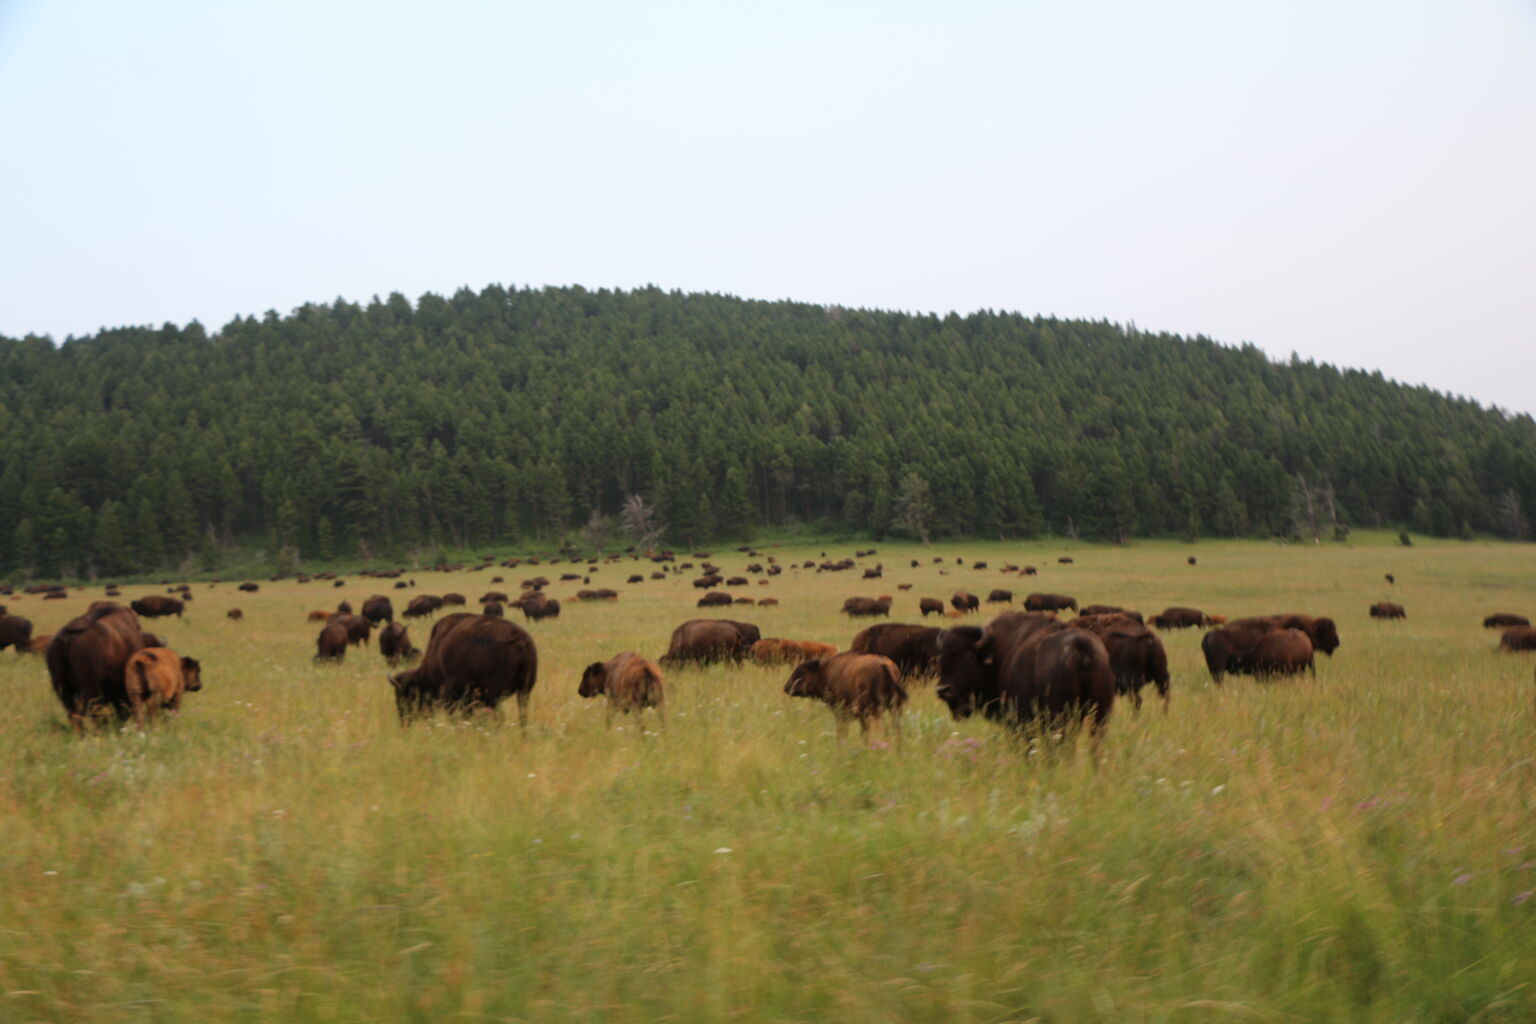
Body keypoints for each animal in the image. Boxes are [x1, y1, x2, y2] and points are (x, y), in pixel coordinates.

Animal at [390, 614, 540, 724]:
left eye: (407, 695)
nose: (404, 721)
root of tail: (519, 637)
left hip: (495, 693)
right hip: (524, 691)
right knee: (522, 715)